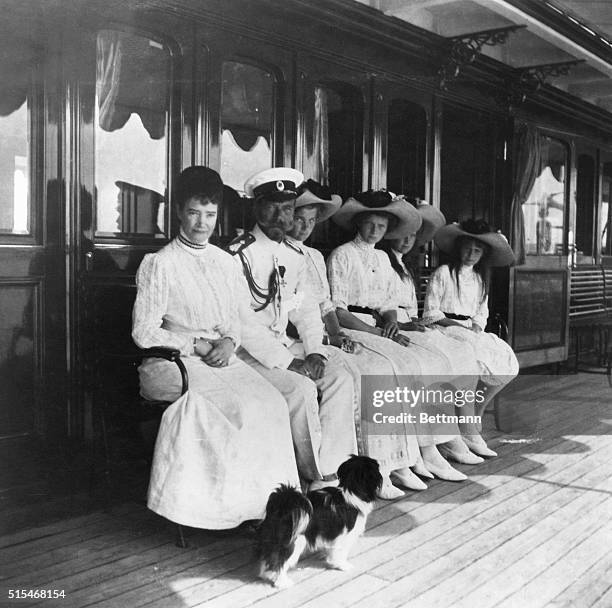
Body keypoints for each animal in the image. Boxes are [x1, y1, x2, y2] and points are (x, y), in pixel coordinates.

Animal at [255, 454, 380, 588]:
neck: (351, 491)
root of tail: (282, 505)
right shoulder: (345, 536)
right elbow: (341, 553)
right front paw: (343, 565)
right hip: (293, 543)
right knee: (280, 562)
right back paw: (282, 582)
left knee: (268, 558)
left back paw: (266, 575)